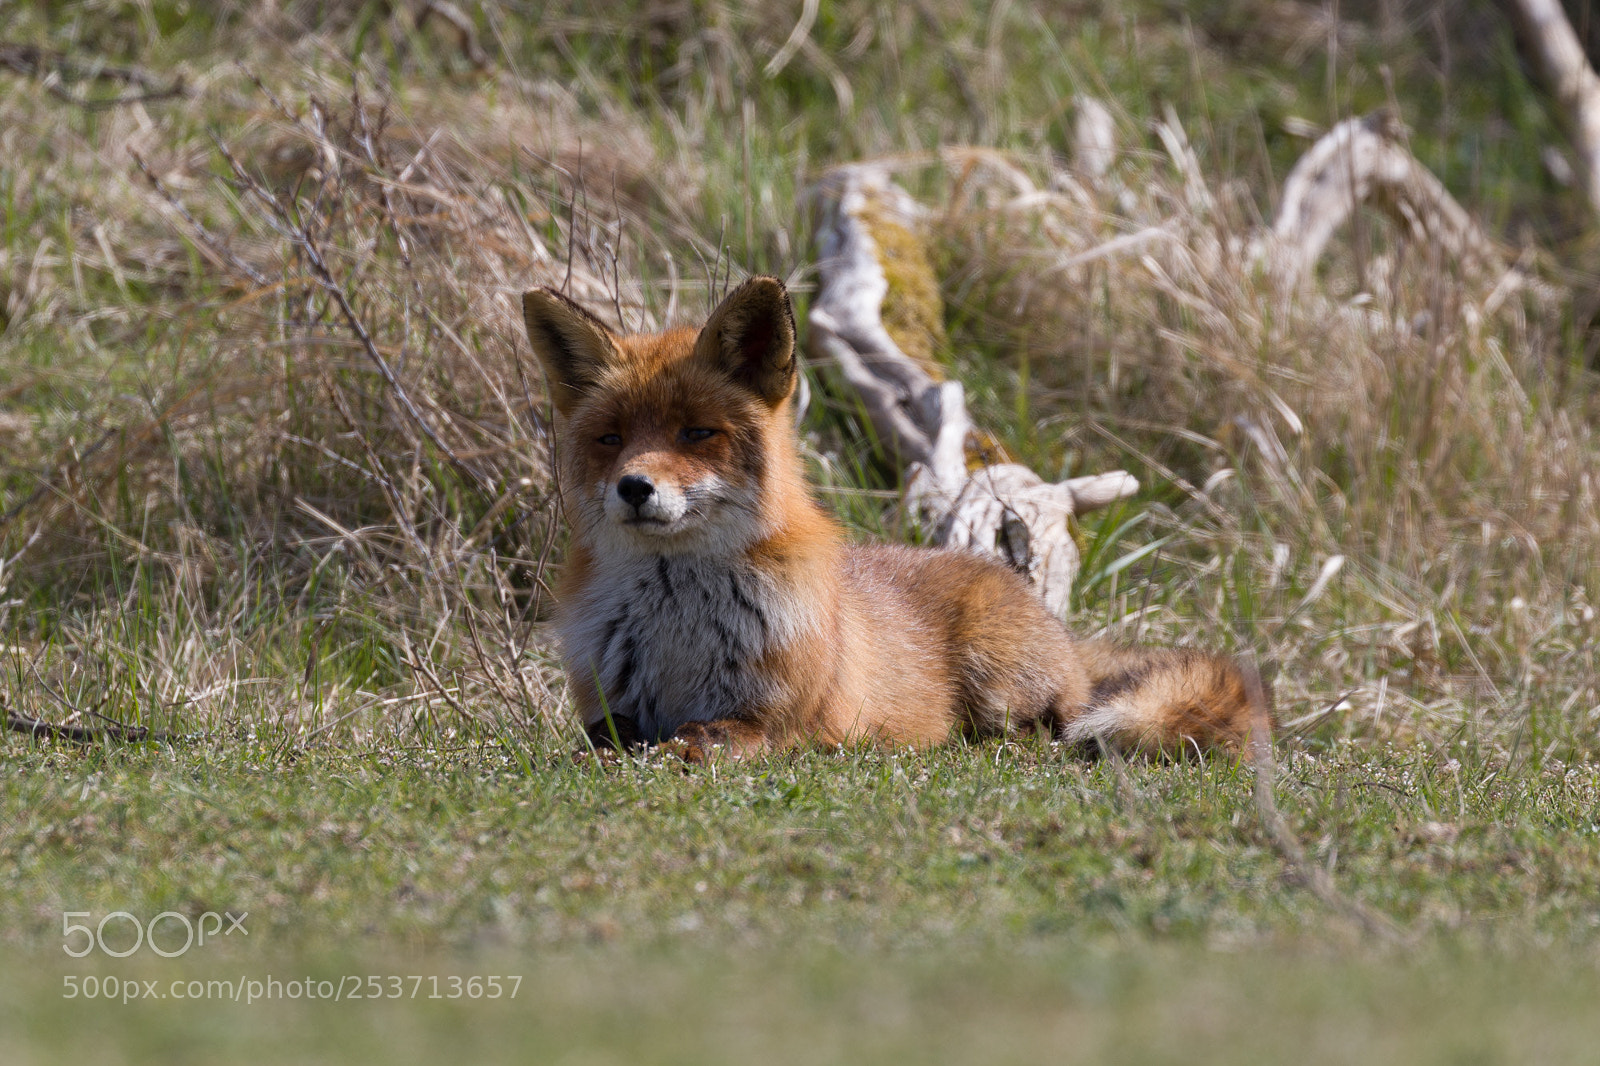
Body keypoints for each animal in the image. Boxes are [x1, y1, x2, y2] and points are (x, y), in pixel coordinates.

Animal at [521, 276, 1266, 762]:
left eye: (697, 433)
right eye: (611, 439)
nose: (635, 488)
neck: (678, 635)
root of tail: (1063, 634)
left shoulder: (778, 720)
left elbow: (703, 740)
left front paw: (667, 753)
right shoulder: (609, 705)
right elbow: (599, 737)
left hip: (1002, 683)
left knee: (1050, 728)